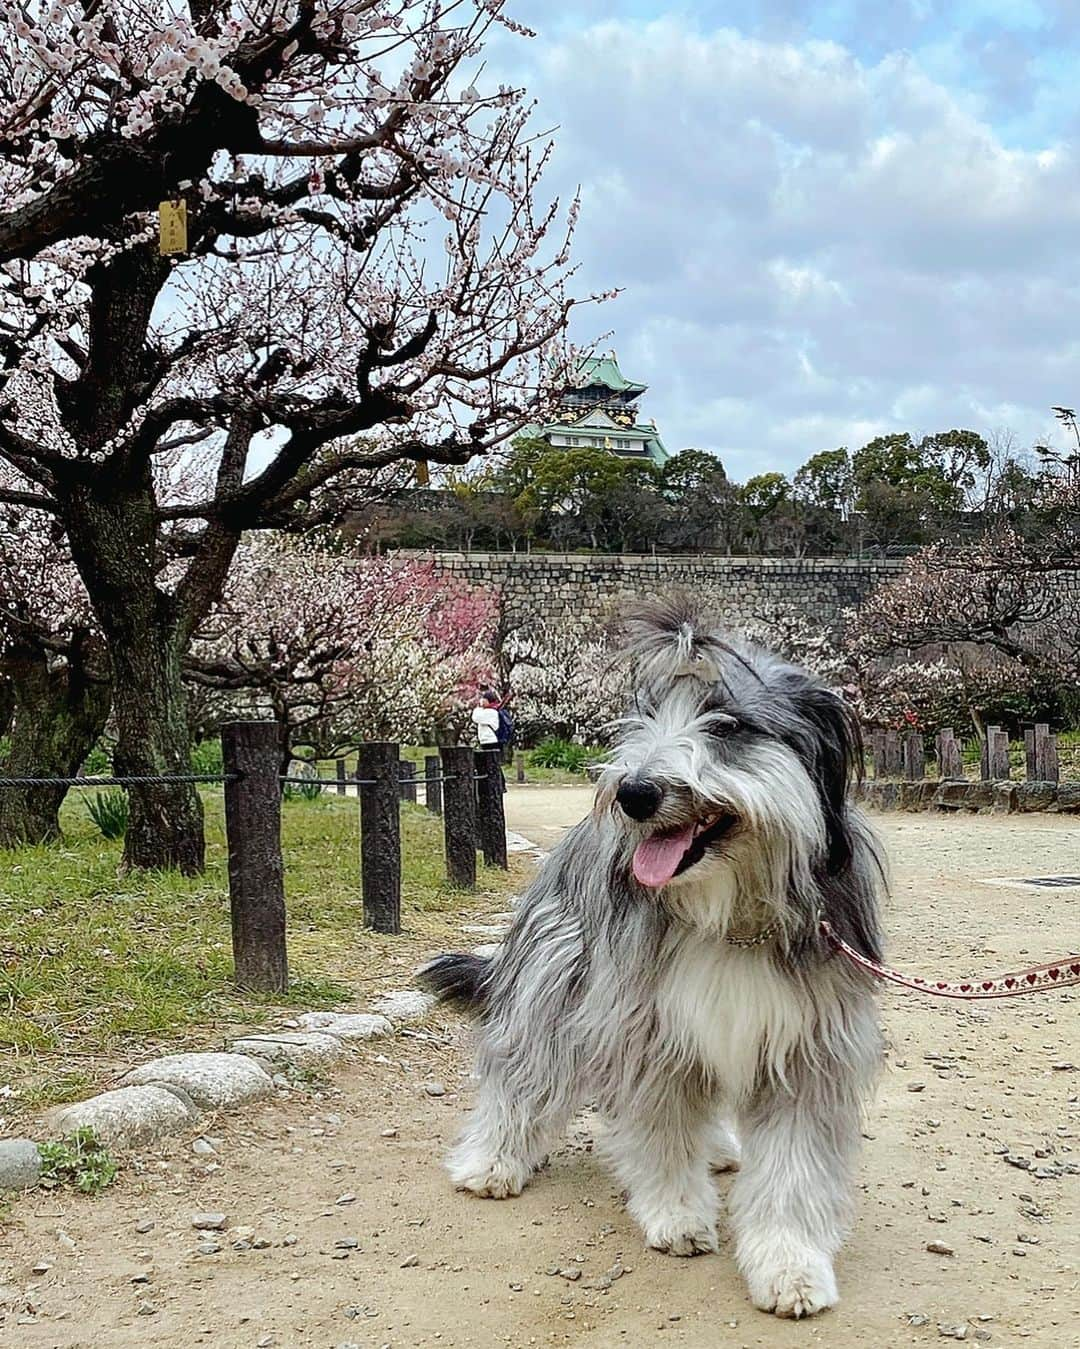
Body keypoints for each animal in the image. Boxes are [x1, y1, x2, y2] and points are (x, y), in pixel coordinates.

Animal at [417, 598, 879, 1316]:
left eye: (727, 723)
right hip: (554, 983)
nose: (632, 793)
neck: (729, 914)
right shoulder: (650, 1028)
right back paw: (492, 1159)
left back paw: (718, 1148)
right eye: (646, 715)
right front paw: (677, 1214)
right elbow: (661, 1130)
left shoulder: (809, 1046)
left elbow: (793, 1169)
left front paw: (790, 1263)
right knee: (519, 1071)